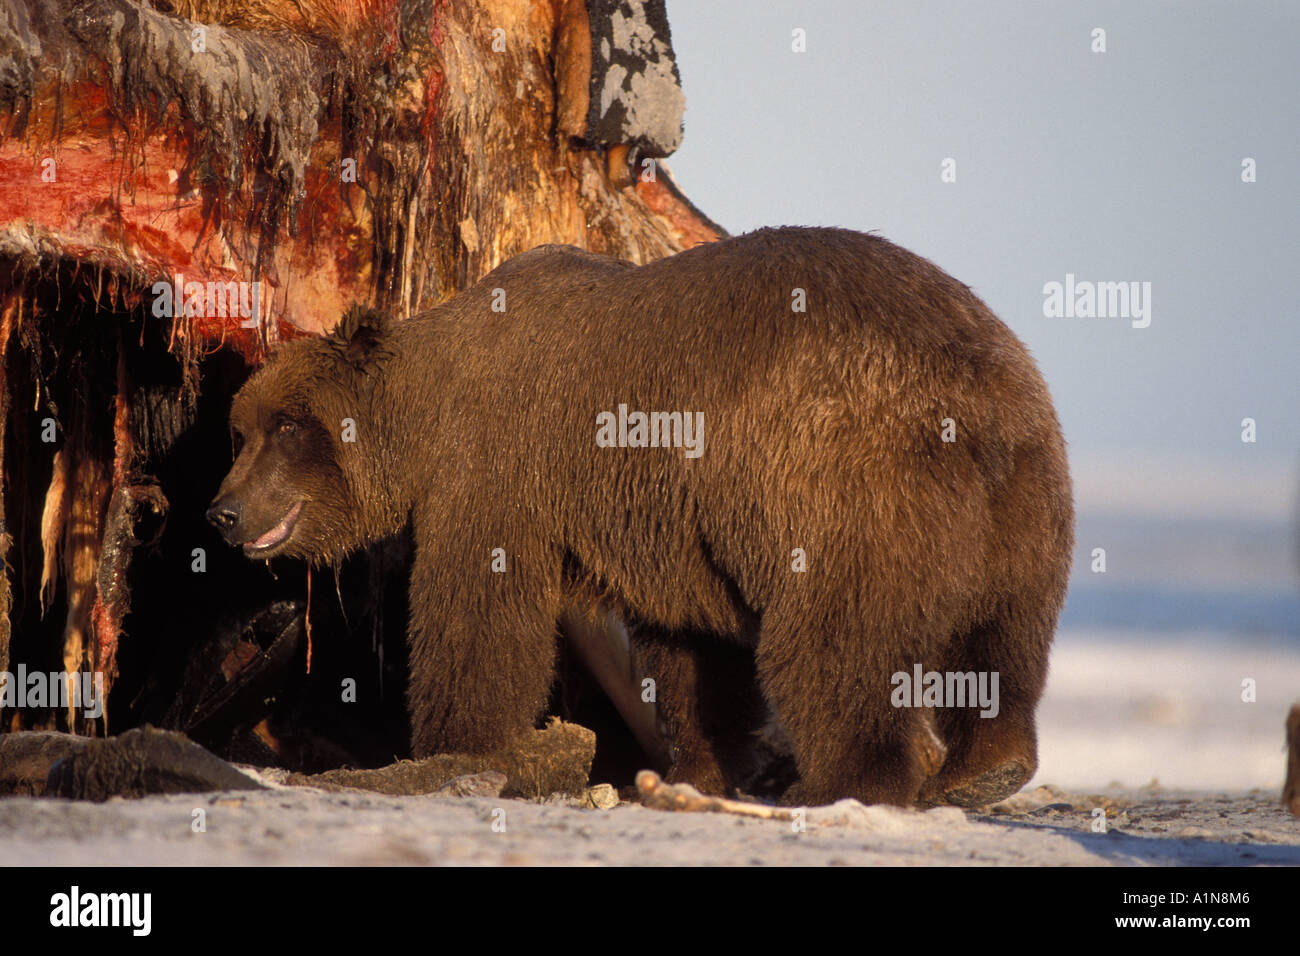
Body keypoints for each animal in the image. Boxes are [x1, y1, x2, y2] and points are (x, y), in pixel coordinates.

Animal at [207, 226, 1074, 807]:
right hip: (1026, 504)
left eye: (286, 427)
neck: (431, 408)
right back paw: (983, 768)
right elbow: (693, 649)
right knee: (1003, 640)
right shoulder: (675, 523)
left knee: (833, 641)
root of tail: (975, 401)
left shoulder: (502, 472)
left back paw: (845, 782)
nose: (222, 512)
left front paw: (454, 748)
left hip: (840, 482)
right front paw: (698, 766)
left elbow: (478, 618)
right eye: (239, 430)